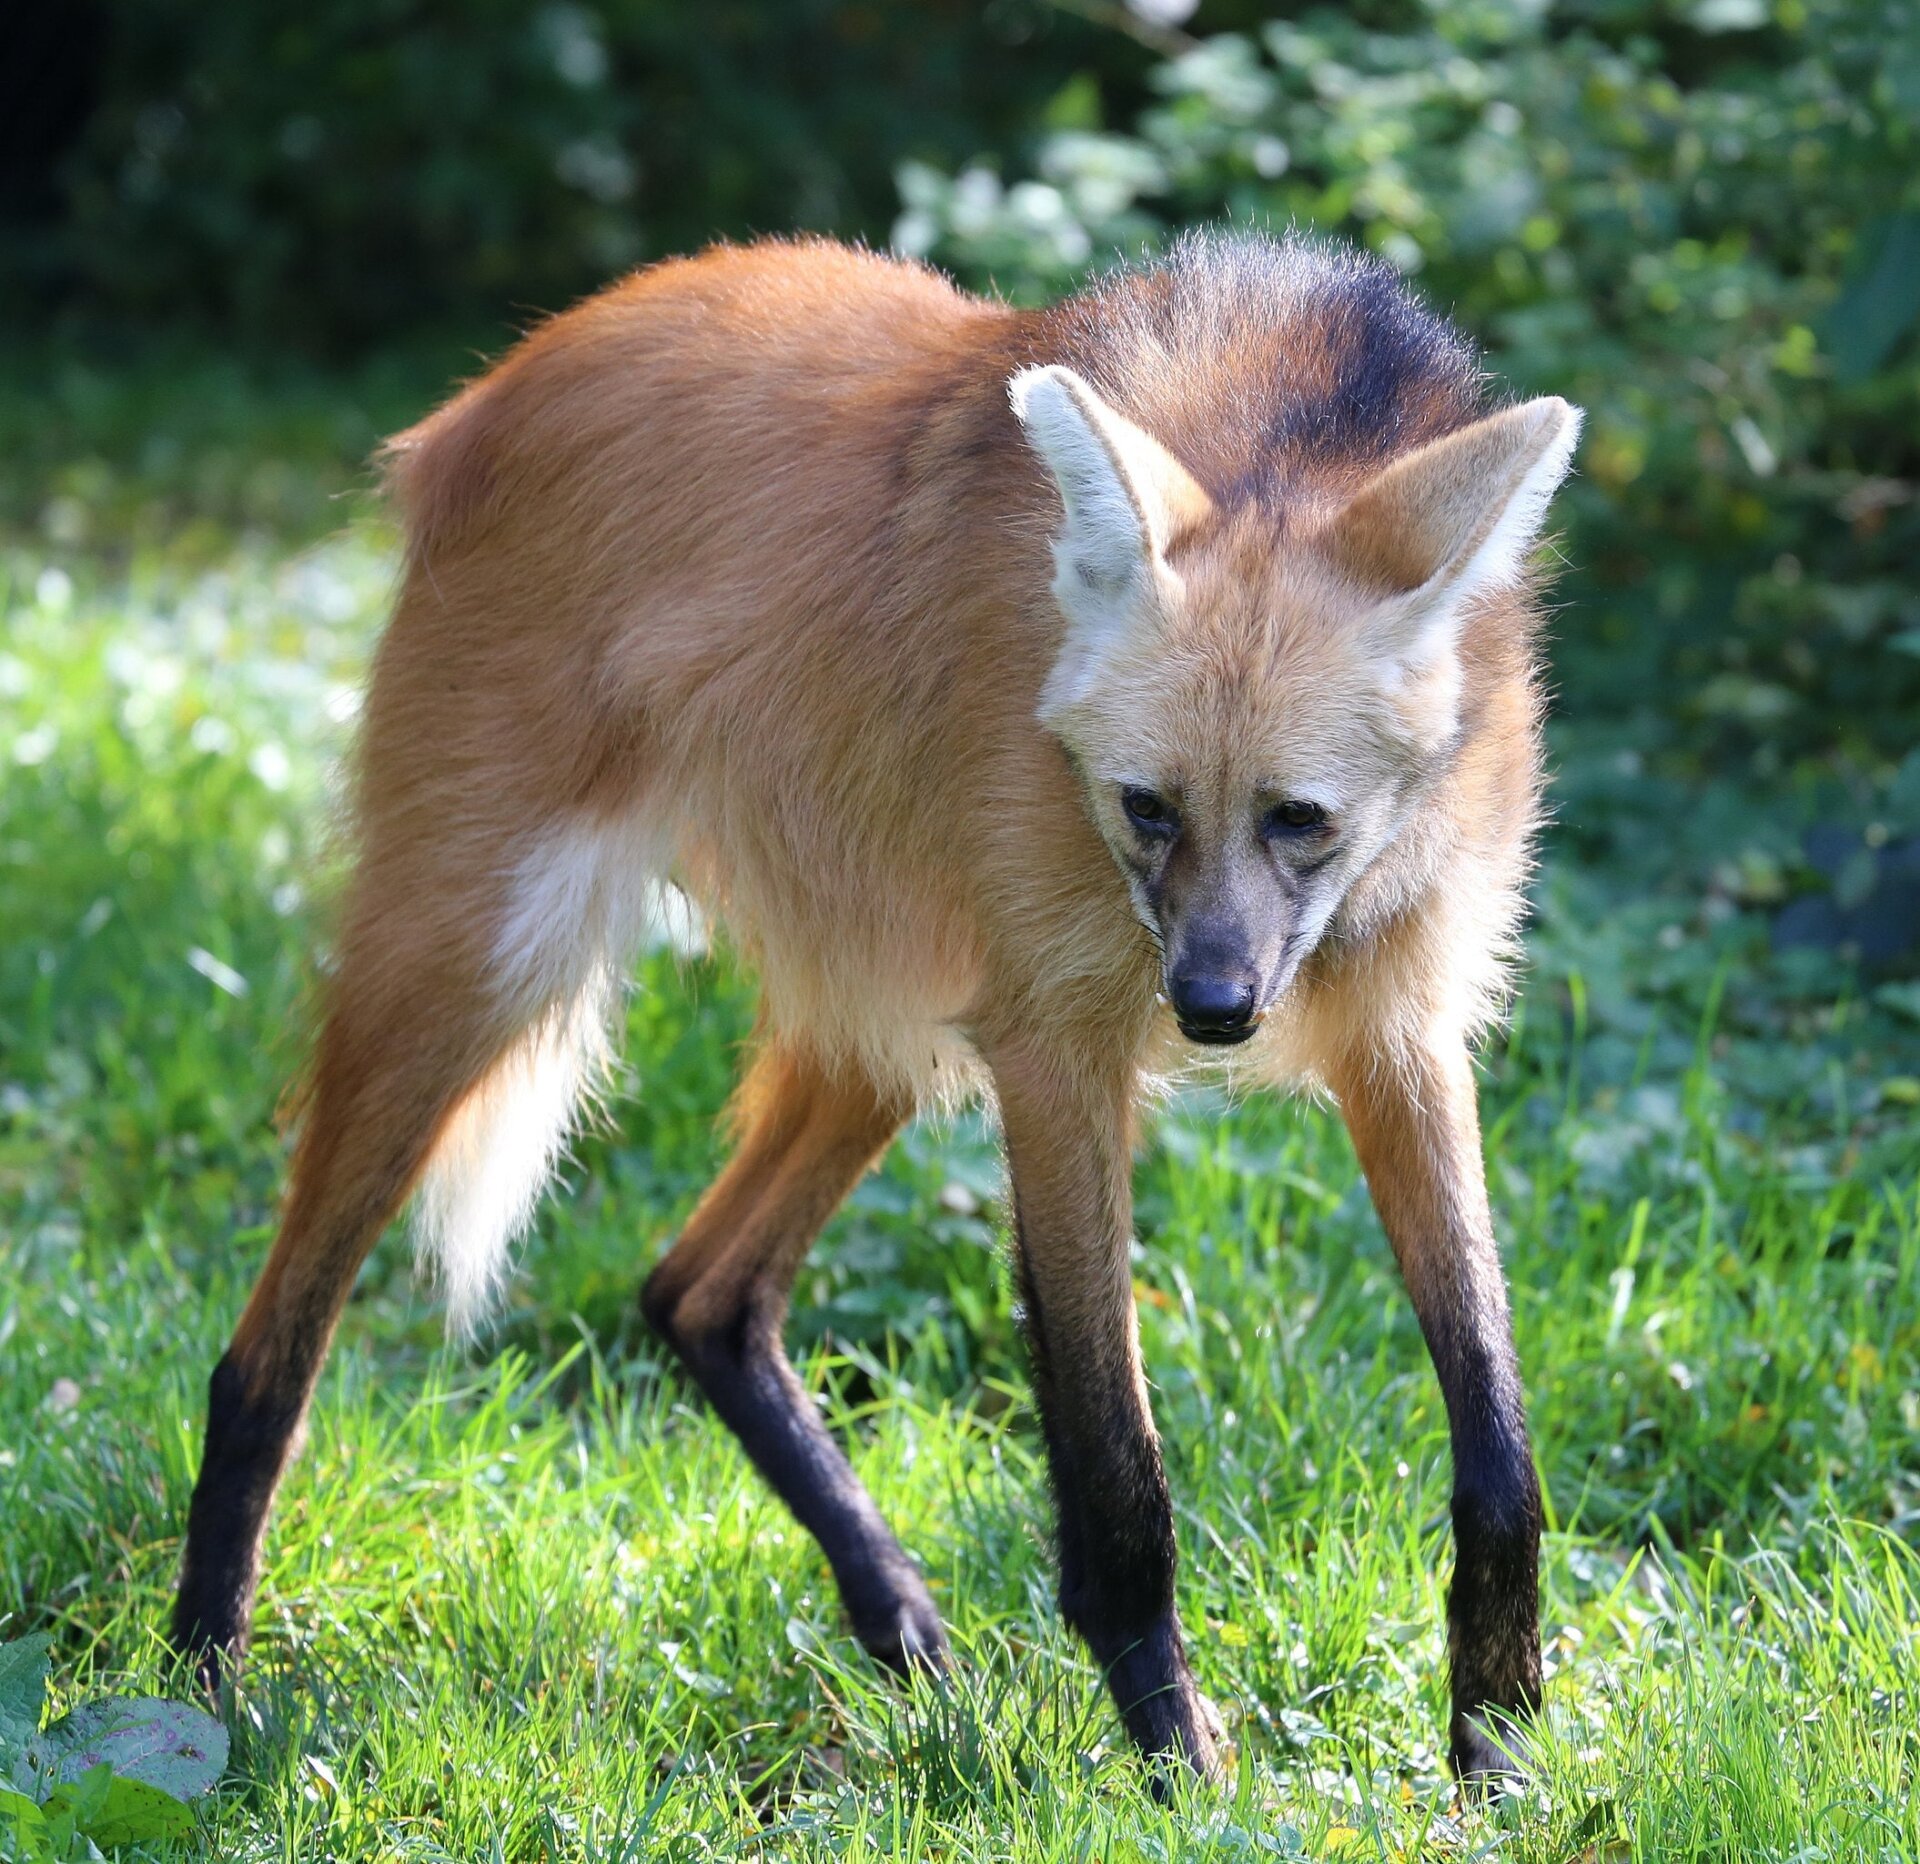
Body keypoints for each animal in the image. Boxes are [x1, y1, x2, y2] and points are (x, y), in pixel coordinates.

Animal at [171, 229, 1580, 1786]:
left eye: (1300, 819)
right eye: (1147, 809)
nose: (1216, 1009)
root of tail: (483, 395)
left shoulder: (1398, 1029)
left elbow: (1501, 1443)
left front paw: (1499, 1744)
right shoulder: (1059, 1048)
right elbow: (1116, 1470)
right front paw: (1180, 1765)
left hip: (887, 1025)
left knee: (699, 1292)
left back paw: (898, 1620)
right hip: (480, 965)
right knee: (265, 1357)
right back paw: (196, 1686)